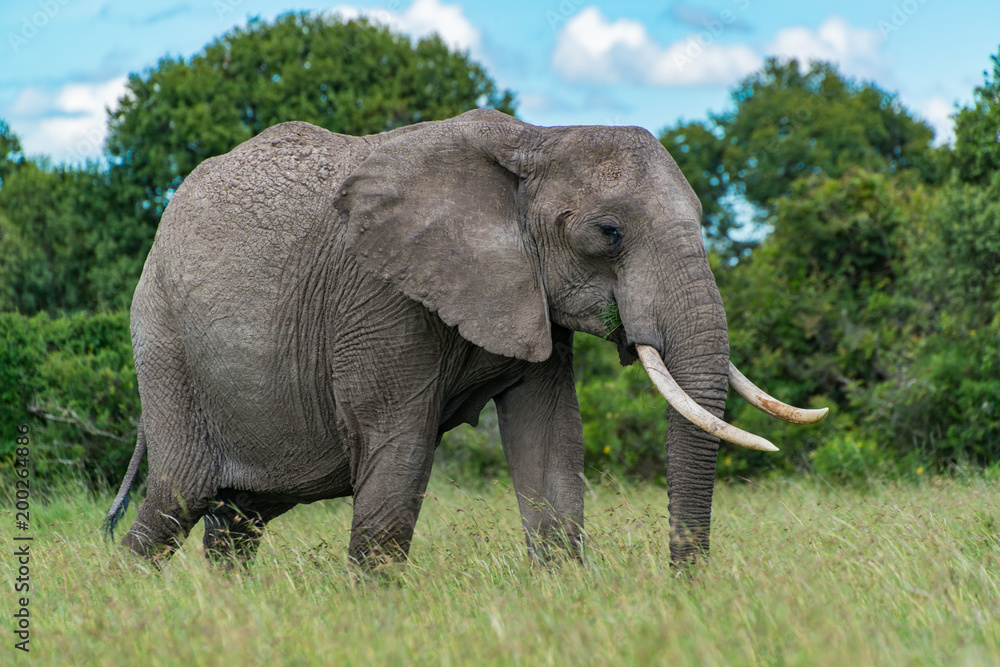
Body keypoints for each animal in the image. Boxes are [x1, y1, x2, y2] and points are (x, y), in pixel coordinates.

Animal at [105, 108, 826, 569]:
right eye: (609, 233)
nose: (684, 587)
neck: (537, 137)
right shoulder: (383, 295)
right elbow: (397, 450)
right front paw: (373, 619)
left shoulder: (532, 296)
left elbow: (551, 446)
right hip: (163, 338)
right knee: (174, 503)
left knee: (235, 521)